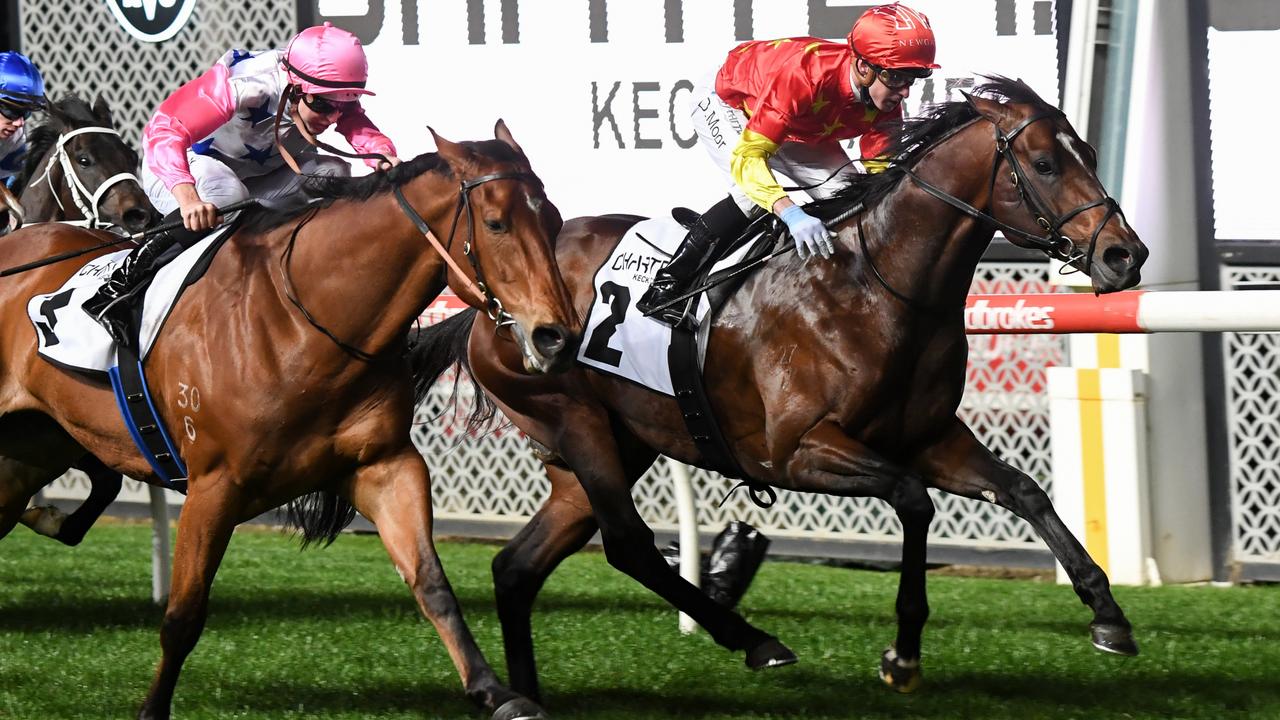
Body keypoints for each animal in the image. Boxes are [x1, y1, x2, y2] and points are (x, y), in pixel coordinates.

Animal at [409, 78, 1152, 702]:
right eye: (1046, 164)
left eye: (1088, 152)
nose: (1125, 255)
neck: (876, 283)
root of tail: (487, 301)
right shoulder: (795, 450)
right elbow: (913, 499)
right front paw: (903, 653)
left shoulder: (930, 437)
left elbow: (1025, 491)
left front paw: (1109, 615)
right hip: (574, 420)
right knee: (626, 543)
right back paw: (754, 640)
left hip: (617, 445)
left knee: (518, 566)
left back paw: (531, 691)